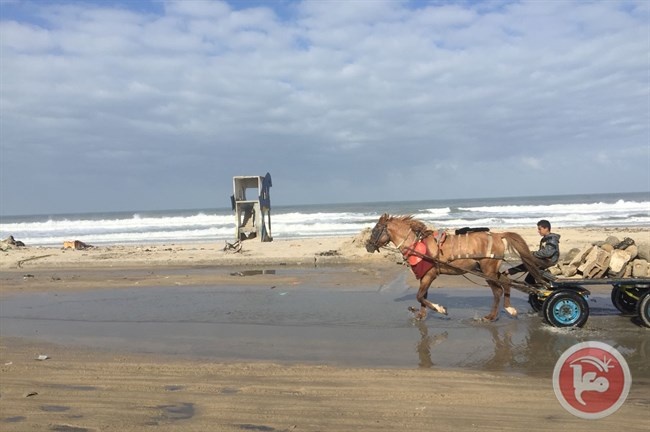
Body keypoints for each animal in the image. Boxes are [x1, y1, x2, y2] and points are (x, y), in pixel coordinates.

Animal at [364, 214, 540, 322]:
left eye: (375, 230)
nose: (368, 246)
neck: (417, 244)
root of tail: (498, 235)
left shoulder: (430, 274)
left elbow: (420, 296)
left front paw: (440, 309)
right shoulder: (424, 276)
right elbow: (422, 296)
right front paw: (421, 315)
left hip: (487, 271)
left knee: (498, 291)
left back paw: (492, 316)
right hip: (490, 271)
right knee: (505, 282)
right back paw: (509, 309)